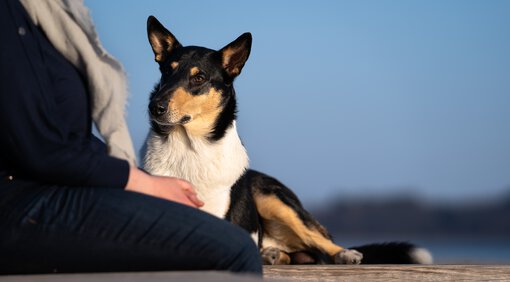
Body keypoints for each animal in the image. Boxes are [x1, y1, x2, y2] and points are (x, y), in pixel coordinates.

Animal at [142, 17, 430, 264]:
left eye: (199, 77)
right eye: (166, 72)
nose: (155, 106)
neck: (188, 148)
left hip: (273, 199)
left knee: (319, 240)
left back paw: (345, 253)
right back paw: (271, 254)